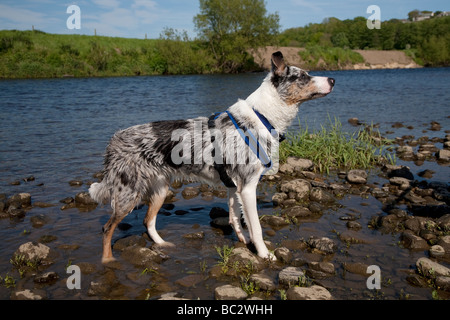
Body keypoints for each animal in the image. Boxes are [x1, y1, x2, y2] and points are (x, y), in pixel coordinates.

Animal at [89, 52, 334, 262]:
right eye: (303, 76)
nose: (332, 79)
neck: (261, 116)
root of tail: (114, 140)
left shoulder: (234, 187)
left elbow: (236, 218)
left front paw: (243, 240)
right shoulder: (248, 186)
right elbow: (256, 227)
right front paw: (264, 254)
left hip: (160, 190)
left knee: (148, 221)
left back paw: (163, 244)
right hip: (128, 195)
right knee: (107, 229)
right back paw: (107, 260)